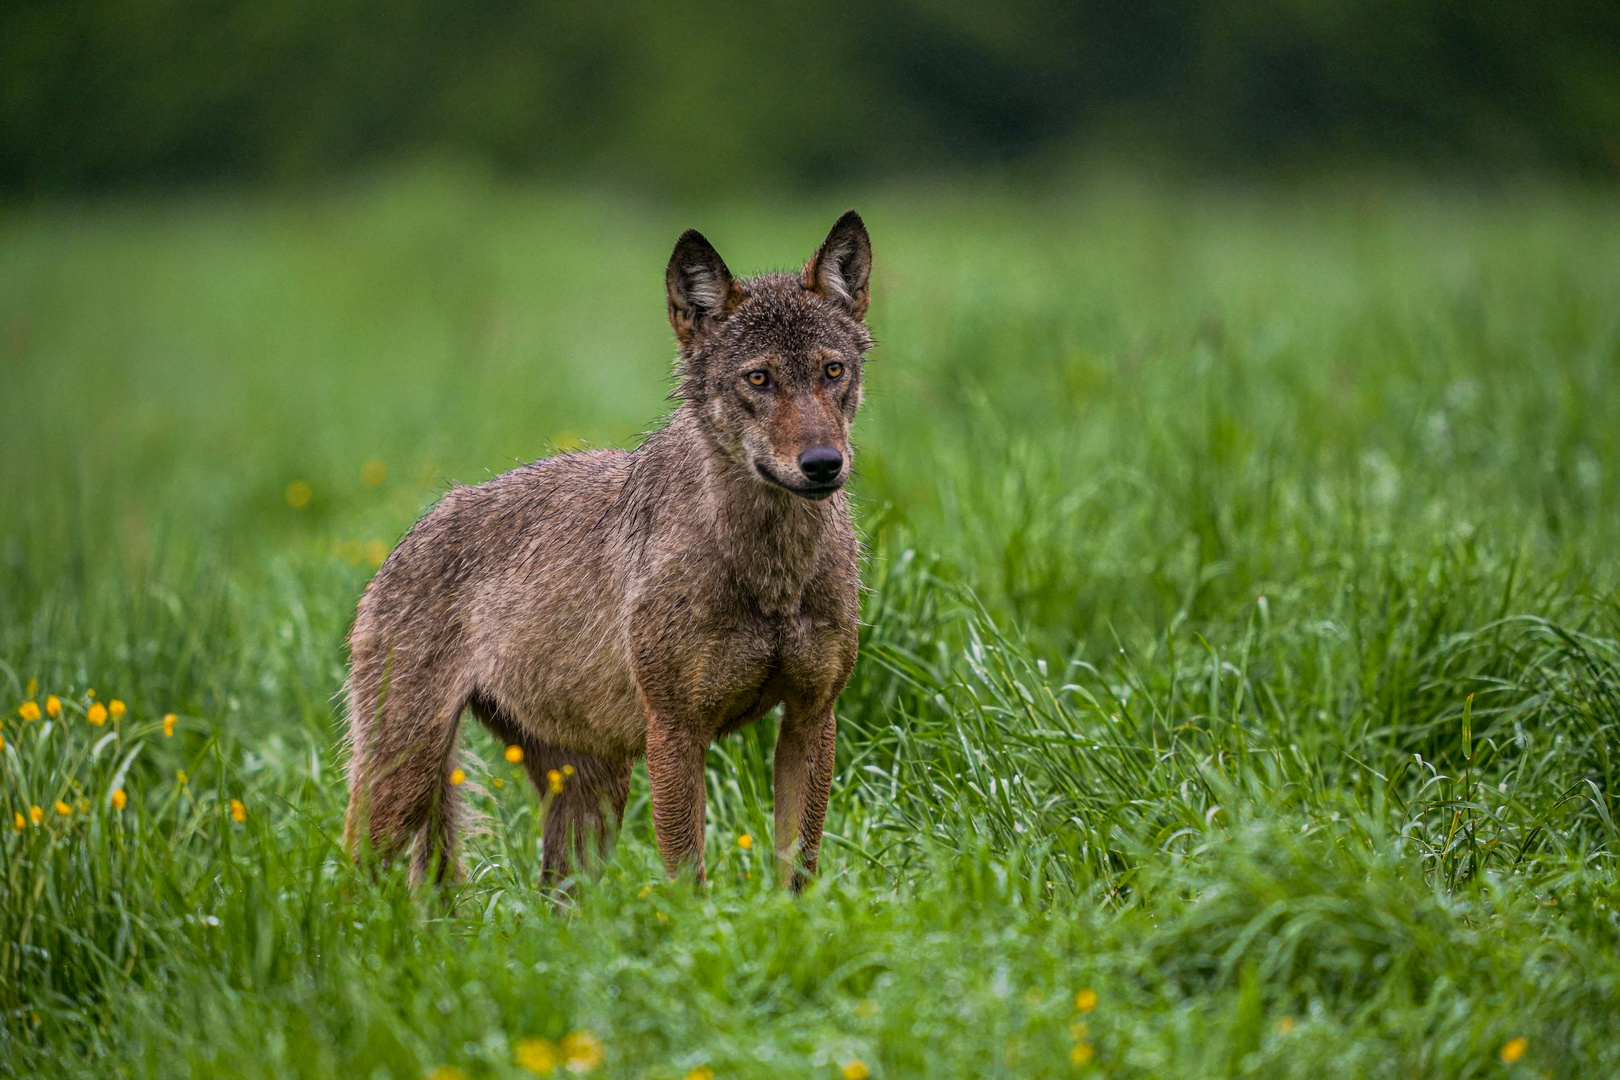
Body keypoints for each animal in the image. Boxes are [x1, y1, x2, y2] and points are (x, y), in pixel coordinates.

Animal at [341, 208, 874, 887]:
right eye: (759, 378)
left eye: (832, 371)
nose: (824, 464)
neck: (770, 569)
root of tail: (407, 538)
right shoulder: (675, 730)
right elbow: (687, 879)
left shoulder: (812, 716)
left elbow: (796, 876)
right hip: (404, 782)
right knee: (351, 874)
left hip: (593, 795)